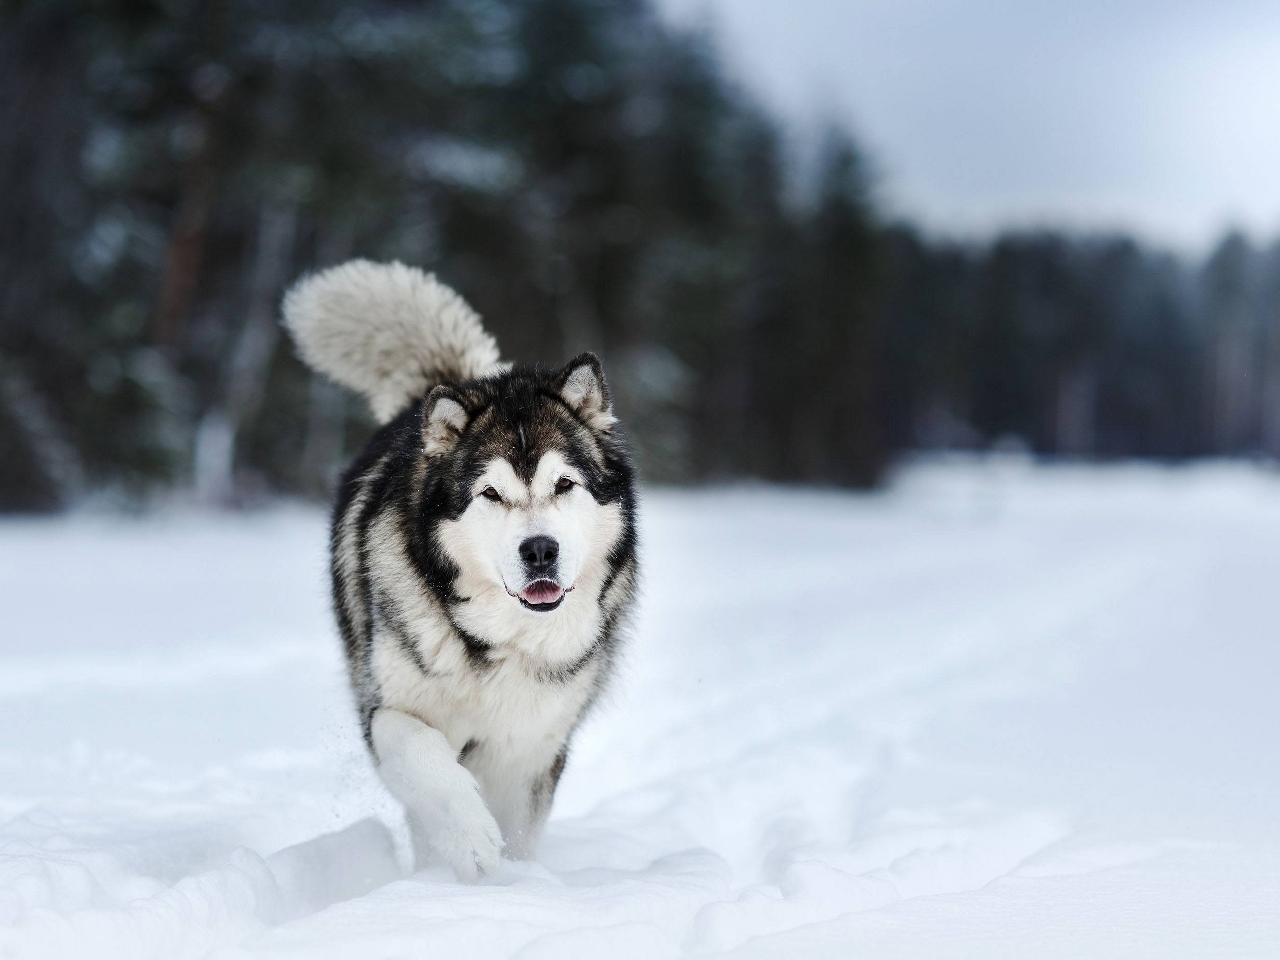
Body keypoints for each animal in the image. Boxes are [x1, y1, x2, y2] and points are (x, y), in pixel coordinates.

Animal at [282, 261, 637, 880]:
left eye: (565, 484)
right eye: (490, 493)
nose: (539, 550)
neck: (498, 643)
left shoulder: (529, 748)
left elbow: (520, 829)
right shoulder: (388, 711)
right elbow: (429, 764)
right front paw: (471, 842)